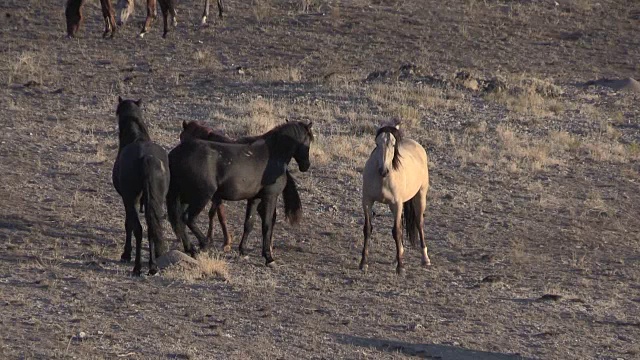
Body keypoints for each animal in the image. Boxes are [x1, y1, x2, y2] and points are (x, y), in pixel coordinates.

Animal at [112, 97, 170, 274]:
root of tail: (146, 158)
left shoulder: (127, 199)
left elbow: (128, 224)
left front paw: (126, 254)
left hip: (131, 199)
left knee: (138, 228)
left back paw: (137, 267)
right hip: (156, 200)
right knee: (152, 228)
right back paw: (152, 266)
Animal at [166, 122, 314, 266]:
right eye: (308, 141)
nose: (306, 165)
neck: (273, 154)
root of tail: (175, 154)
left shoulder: (254, 198)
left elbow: (249, 223)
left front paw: (242, 250)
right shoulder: (270, 197)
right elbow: (266, 225)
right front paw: (268, 257)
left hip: (185, 197)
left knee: (180, 220)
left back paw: (190, 249)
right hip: (201, 197)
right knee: (188, 218)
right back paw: (204, 244)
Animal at [360, 122, 430, 274]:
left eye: (393, 144)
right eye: (377, 144)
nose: (383, 170)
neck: (383, 179)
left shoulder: (396, 204)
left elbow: (396, 232)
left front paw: (401, 267)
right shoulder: (367, 201)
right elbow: (367, 229)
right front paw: (363, 263)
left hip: (420, 196)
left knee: (419, 223)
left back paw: (425, 259)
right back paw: (399, 255)